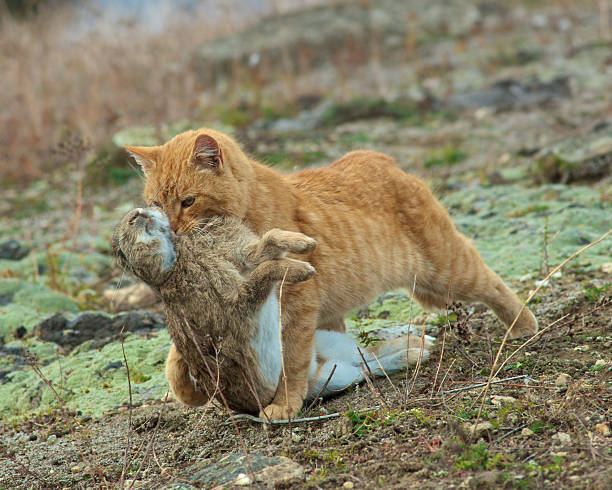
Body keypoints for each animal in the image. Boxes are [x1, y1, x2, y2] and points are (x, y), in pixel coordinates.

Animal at [126, 128, 536, 420]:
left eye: (188, 201)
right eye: (156, 203)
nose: (173, 230)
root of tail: (377, 156)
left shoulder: (294, 303)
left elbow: (291, 358)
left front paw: (285, 403)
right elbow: (175, 364)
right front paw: (192, 388)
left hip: (448, 270)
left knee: (492, 282)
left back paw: (523, 327)